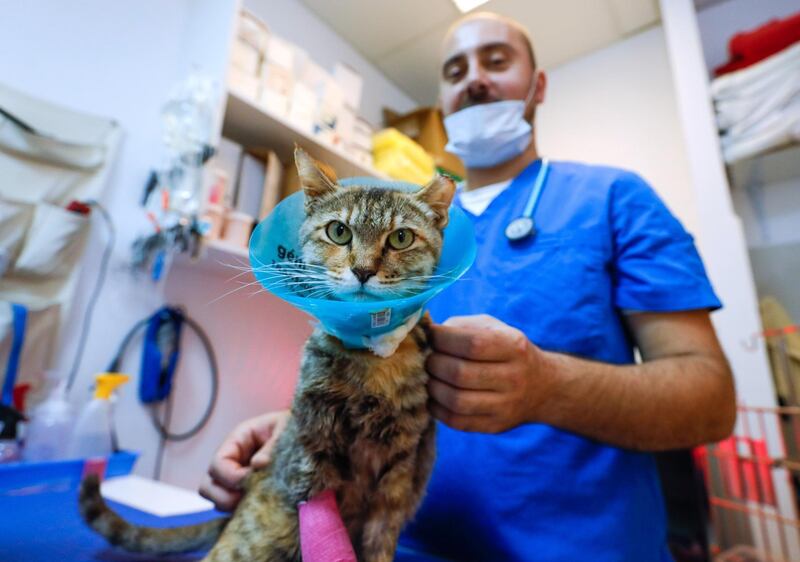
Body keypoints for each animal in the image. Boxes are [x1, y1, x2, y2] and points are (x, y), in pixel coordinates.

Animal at [83, 147, 456, 556]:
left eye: (401, 238)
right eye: (339, 231)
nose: (362, 270)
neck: (372, 361)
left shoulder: (398, 474)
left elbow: (379, 543)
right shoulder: (311, 449)